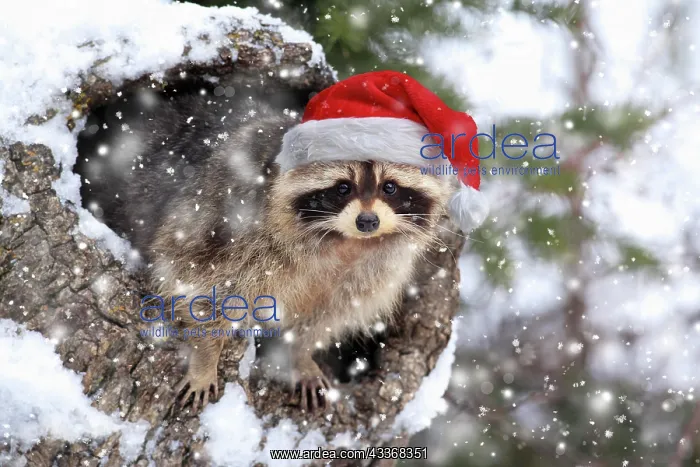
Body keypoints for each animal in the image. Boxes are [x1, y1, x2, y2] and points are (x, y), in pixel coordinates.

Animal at [78, 84, 456, 412]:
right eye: (343, 188)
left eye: (389, 187)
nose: (367, 222)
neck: (342, 241)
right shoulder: (229, 220)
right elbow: (194, 281)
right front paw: (205, 356)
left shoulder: (373, 271)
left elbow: (327, 315)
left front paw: (302, 355)